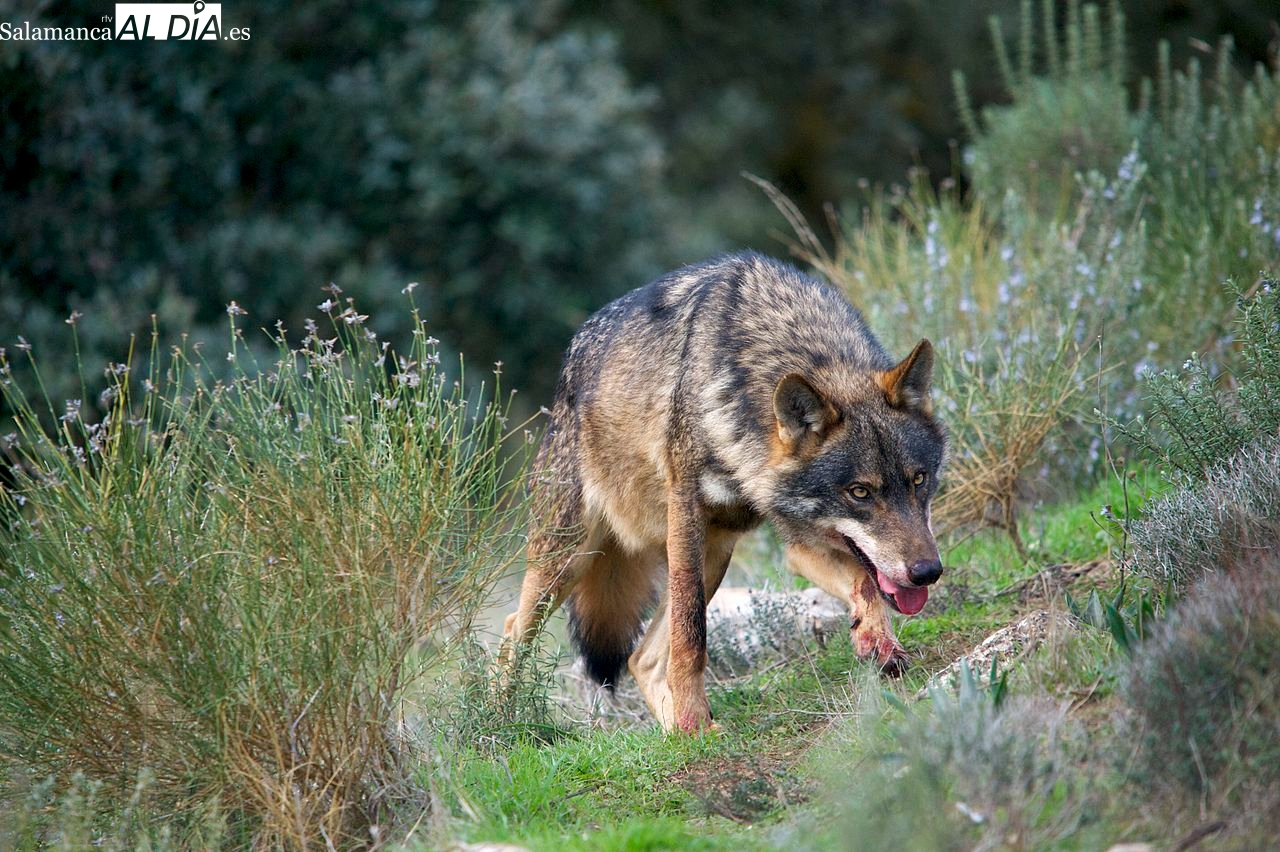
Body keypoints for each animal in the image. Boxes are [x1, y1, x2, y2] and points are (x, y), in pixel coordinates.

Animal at [502, 251, 947, 733]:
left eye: (919, 479)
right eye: (860, 492)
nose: (927, 572)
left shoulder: (799, 541)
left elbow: (864, 582)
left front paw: (877, 642)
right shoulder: (686, 515)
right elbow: (691, 636)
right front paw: (693, 716)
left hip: (714, 554)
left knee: (641, 659)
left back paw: (679, 734)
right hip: (570, 559)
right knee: (513, 631)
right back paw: (501, 721)